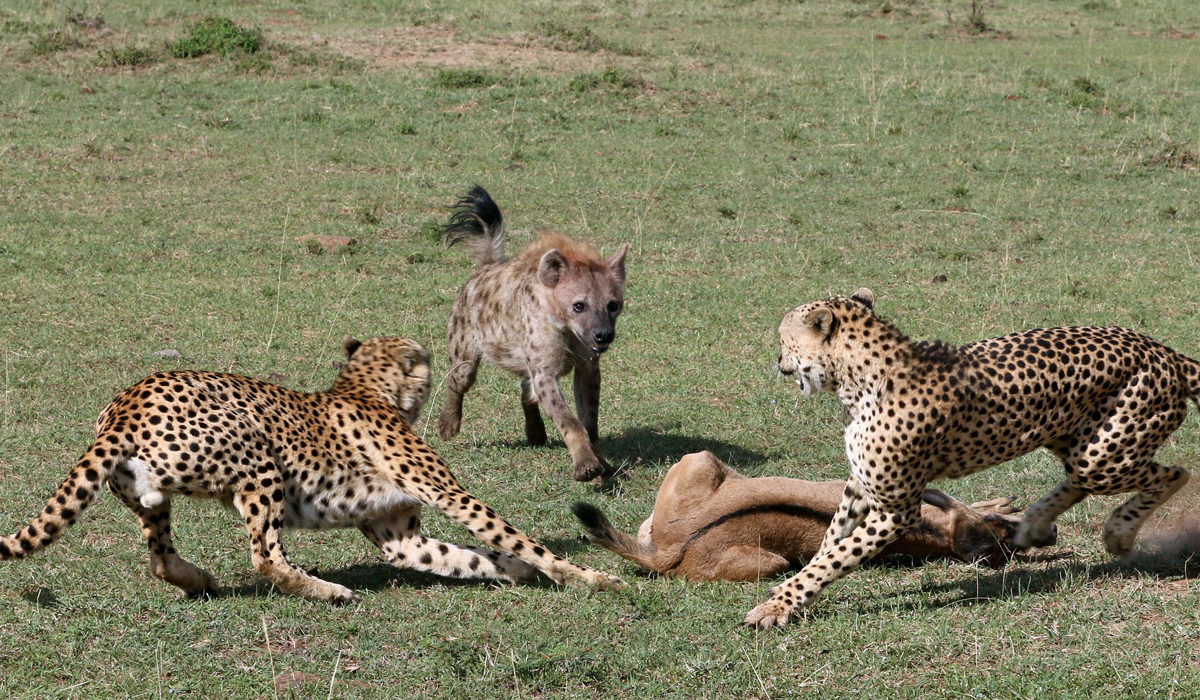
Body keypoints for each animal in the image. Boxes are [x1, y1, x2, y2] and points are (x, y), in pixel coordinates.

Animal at [0, 338, 619, 602]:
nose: (439, 367)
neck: (365, 387)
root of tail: (126, 402)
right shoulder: (446, 495)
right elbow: (513, 535)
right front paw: (591, 577)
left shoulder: (400, 536)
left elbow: (465, 556)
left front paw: (515, 572)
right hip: (256, 460)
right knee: (265, 556)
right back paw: (328, 591)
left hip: (148, 494)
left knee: (159, 555)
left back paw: (200, 580)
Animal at [744, 290, 1195, 629]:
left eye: (783, 339)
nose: (778, 362)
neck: (857, 378)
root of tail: (1160, 349)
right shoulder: (860, 488)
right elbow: (829, 543)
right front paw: (795, 597)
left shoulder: (896, 509)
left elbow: (837, 556)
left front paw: (777, 605)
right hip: (1076, 441)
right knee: (1080, 480)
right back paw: (1034, 524)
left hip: (1103, 456)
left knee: (1176, 473)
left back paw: (1117, 533)